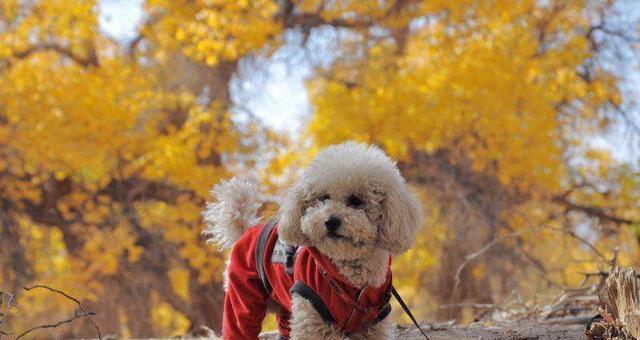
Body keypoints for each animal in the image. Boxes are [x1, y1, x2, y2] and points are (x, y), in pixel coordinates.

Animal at [205, 141, 422, 340]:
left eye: (356, 200)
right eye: (323, 198)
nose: (331, 221)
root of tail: (247, 229)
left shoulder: (374, 324)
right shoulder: (311, 312)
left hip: (284, 305)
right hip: (243, 297)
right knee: (239, 324)